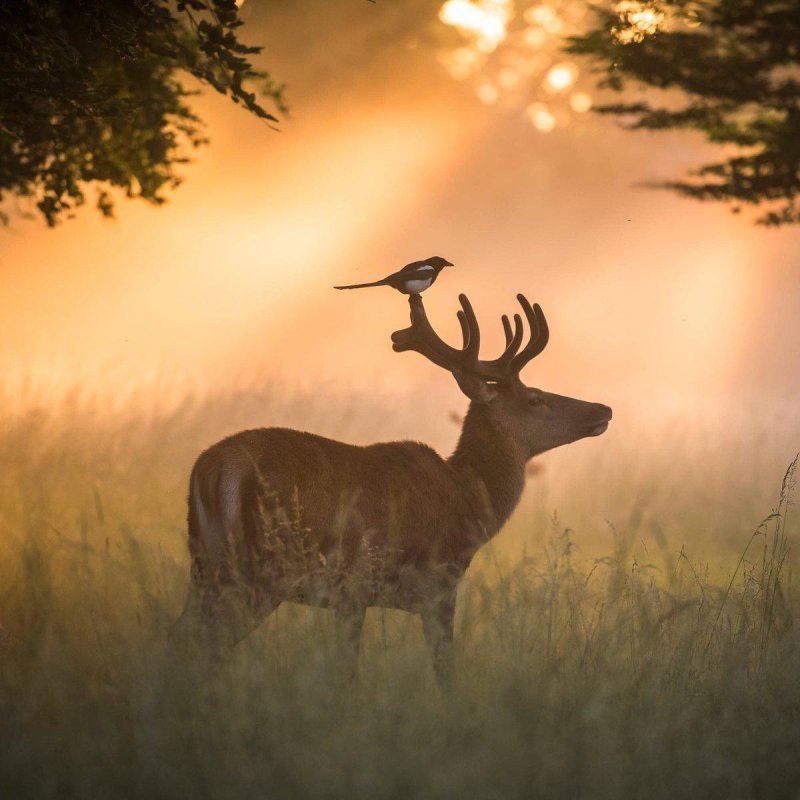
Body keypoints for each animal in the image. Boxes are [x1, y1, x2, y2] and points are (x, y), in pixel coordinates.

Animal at [173, 292, 612, 680]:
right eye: (535, 398)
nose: (603, 408)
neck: (467, 498)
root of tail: (212, 468)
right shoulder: (412, 584)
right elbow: (431, 672)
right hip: (262, 567)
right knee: (207, 643)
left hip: (205, 563)